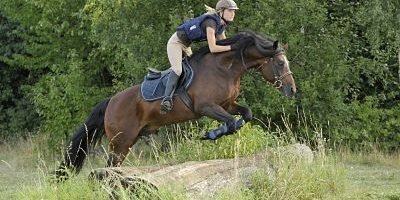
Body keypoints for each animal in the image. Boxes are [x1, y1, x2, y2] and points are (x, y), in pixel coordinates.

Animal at [54, 31, 296, 180]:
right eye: (280, 63)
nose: (292, 90)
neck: (225, 68)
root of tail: (111, 101)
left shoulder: (227, 104)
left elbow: (246, 114)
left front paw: (214, 134)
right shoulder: (206, 107)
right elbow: (231, 123)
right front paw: (211, 135)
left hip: (128, 141)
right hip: (121, 142)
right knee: (110, 166)